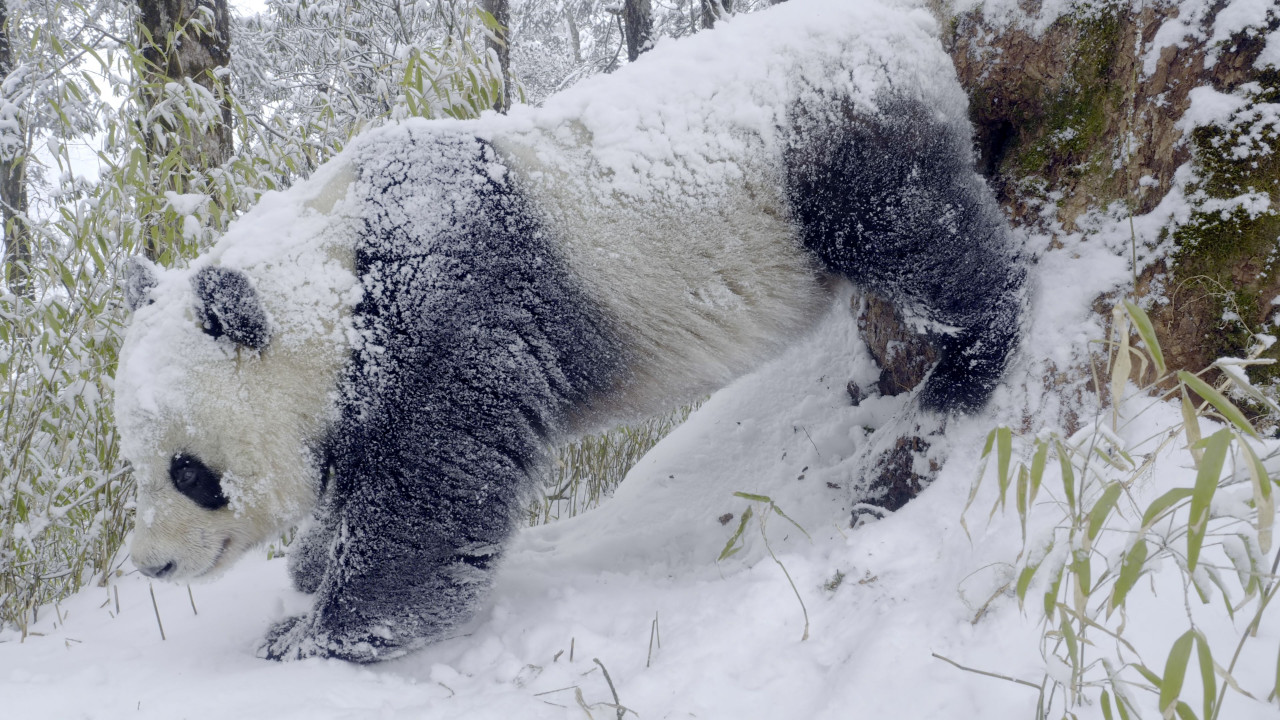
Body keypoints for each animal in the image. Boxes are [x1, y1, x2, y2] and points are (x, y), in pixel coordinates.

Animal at [115, 0, 1025, 663]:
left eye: (190, 472)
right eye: (138, 464)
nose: (152, 564)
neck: (332, 276)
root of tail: (903, 24)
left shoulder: (453, 309)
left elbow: (430, 494)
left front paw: (313, 636)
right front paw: (309, 569)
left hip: (837, 144)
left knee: (925, 246)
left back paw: (966, 372)